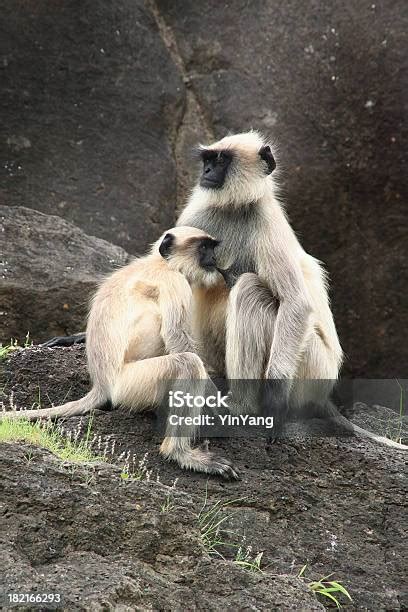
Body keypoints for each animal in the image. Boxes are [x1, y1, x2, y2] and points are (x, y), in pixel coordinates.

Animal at [3, 227, 239, 480]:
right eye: (204, 248)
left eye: (212, 248)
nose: (214, 259)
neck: (162, 263)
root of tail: (101, 384)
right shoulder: (173, 281)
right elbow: (178, 338)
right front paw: (219, 407)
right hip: (129, 385)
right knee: (188, 364)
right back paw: (180, 454)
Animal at [178, 130, 408, 450]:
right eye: (208, 160)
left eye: (222, 160)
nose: (208, 172)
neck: (235, 209)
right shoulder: (196, 216)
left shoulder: (266, 223)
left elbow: (297, 304)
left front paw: (274, 404)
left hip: (312, 369)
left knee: (249, 288)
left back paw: (243, 405)